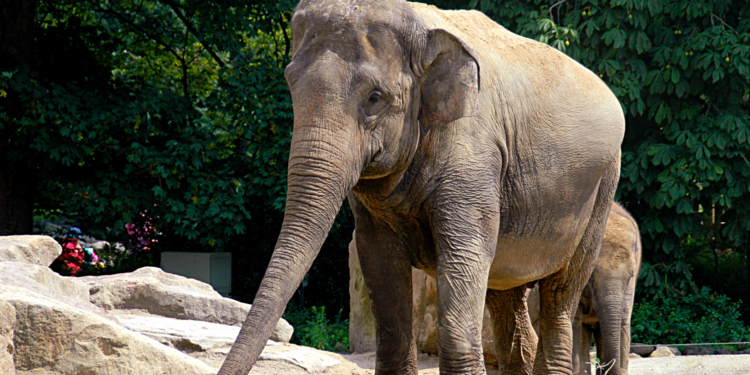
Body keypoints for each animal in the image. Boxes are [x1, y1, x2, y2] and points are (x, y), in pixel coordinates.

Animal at [220, 1, 624, 374]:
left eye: (375, 98)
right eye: (290, 84)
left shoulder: (474, 157)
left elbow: (462, 273)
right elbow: (381, 275)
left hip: (602, 189)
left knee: (559, 296)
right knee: (505, 297)